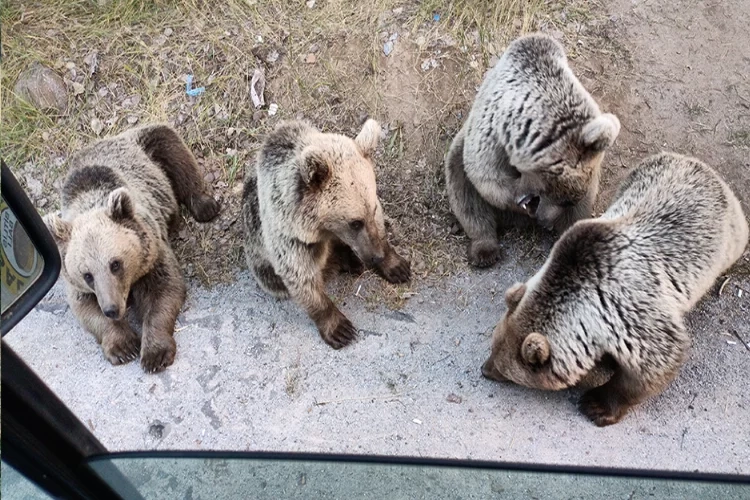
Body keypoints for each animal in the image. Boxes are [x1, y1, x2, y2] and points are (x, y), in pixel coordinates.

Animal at [44, 123, 220, 374]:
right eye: (87, 274)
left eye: (115, 264)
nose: (112, 308)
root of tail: (110, 137)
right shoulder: (80, 286)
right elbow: (86, 309)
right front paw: (123, 347)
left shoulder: (153, 251)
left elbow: (163, 291)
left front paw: (154, 354)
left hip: (149, 146)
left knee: (177, 155)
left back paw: (205, 206)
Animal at [244, 119, 412, 350]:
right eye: (355, 222)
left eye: (372, 211)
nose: (375, 257)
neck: (322, 227)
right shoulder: (288, 230)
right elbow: (300, 275)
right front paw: (340, 329)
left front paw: (397, 266)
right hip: (258, 251)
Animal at [446, 32, 624, 268]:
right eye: (558, 197)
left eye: (567, 200)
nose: (544, 221)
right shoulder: (492, 133)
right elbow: (485, 176)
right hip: (461, 148)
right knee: (464, 190)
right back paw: (485, 250)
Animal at [482, 152, 750, 426]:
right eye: (493, 346)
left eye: (507, 370)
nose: (485, 370)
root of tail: (702, 166)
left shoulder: (630, 308)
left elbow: (656, 361)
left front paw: (596, 405)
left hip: (728, 237)